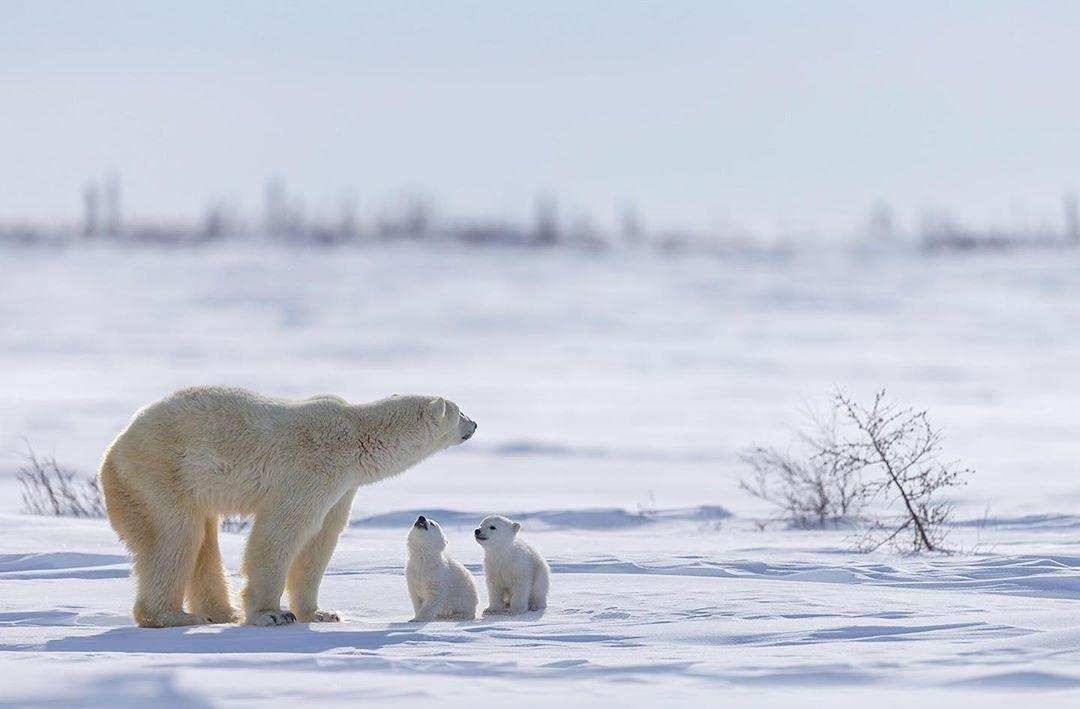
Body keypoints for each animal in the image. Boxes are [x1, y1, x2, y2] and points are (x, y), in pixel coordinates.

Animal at [100, 386, 477, 626]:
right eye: (460, 411)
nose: (474, 424)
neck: (357, 437)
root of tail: (113, 451)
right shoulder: (312, 469)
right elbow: (282, 531)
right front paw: (271, 613)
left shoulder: (342, 487)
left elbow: (320, 542)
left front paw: (321, 613)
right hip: (160, 475)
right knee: (175, 538)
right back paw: (173, 616)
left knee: (203, 541)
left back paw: (221, 613)